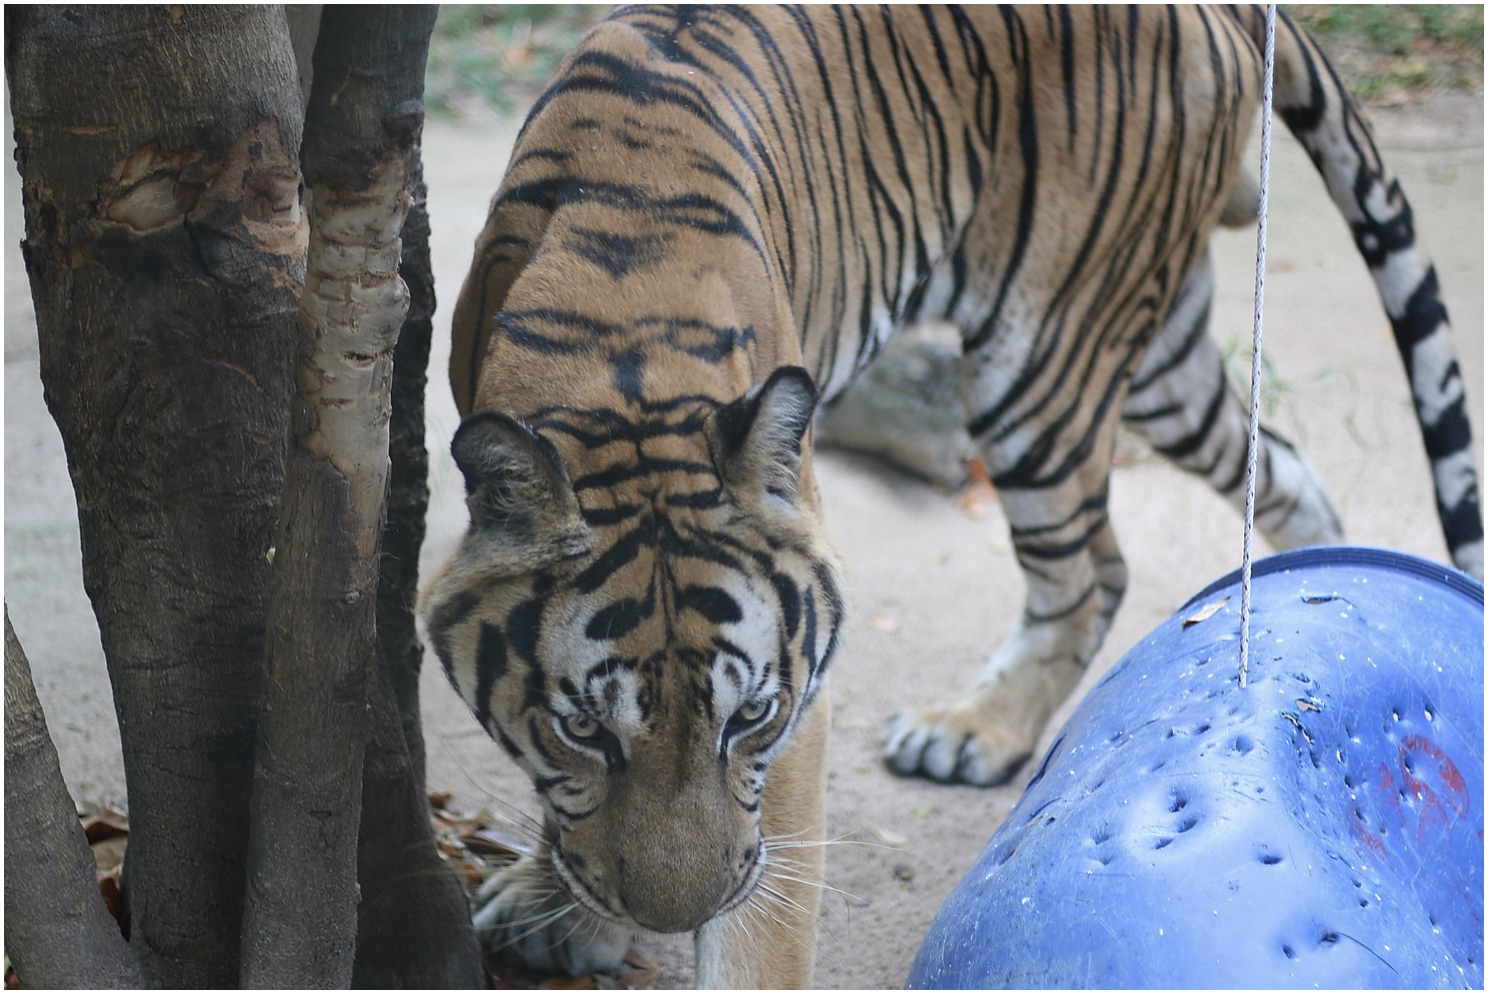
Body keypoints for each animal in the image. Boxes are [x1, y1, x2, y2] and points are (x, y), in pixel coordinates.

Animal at [421, 4, 1483, 987]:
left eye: (751, 716)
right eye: (582, 729)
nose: (679, 913)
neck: (622, 367)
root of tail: (1214, 11)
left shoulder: (800, 705)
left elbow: (761, 928)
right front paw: (562, 907)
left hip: (1045, 350)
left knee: (1092, 568)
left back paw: (975, 731)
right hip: (1162, 362)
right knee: (1283, 467)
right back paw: (1306, 600)